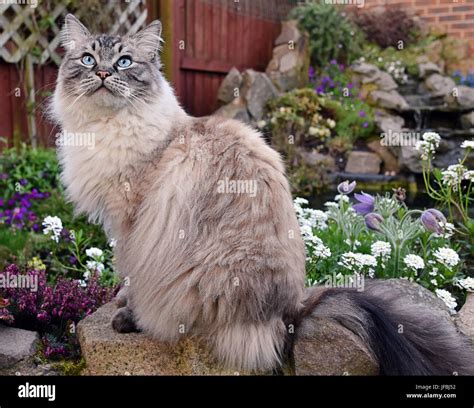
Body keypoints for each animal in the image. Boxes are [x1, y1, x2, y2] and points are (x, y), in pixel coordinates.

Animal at [51, 15, 474, 372]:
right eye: (88, 59)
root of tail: (291, 312)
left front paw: (126, 311)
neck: (108, 126)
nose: (103, 72)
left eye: (124, 62)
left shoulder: (132, 222)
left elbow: (130, 274)